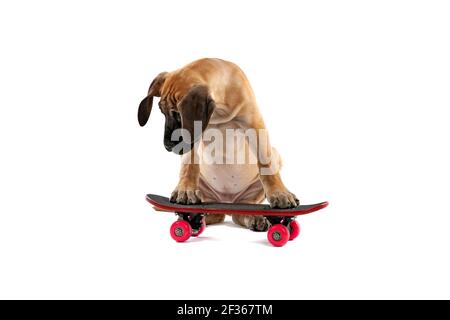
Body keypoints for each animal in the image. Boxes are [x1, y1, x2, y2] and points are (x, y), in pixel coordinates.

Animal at [138, 58, 298, 230]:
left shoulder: (255, 125)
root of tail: (226, 202)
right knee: (217, 214)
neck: (219, 112)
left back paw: (255, 217)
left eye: (178, 115)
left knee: (239, 213)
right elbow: (190, 165)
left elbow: (266, 164)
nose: (167, 145)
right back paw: (198, 216)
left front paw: (280, 194)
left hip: (271, 162)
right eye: (162, 112)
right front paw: (185, 190)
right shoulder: (194, 133)